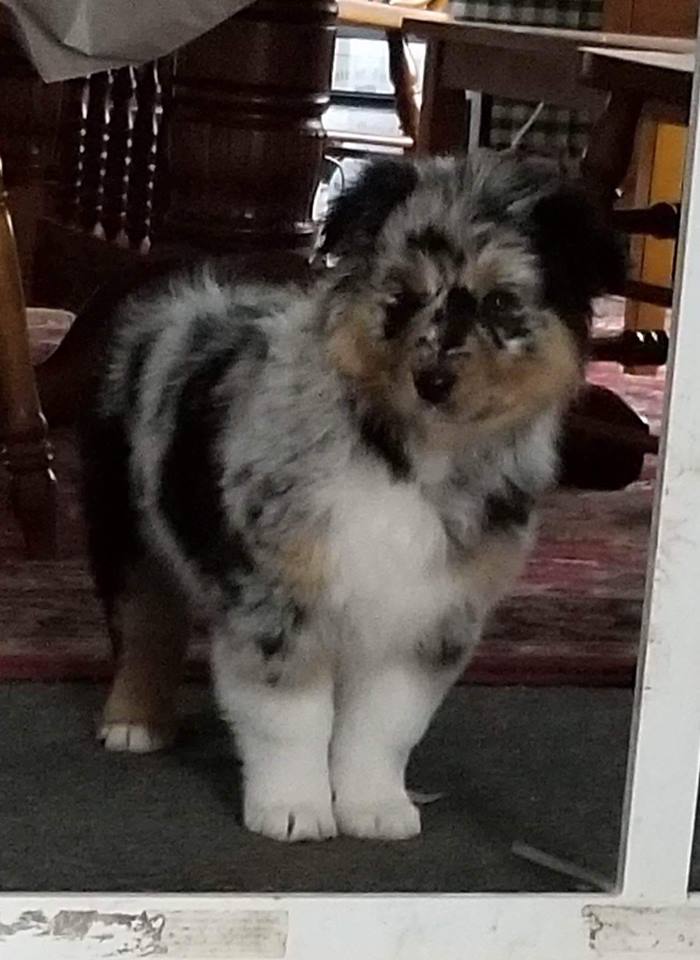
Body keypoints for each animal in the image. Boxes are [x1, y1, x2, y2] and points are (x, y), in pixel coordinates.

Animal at [80, 149, 624, 842]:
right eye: (404, 295)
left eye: (502, 301)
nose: (433, 380)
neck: (408, 456)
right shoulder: (278, 595)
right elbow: (291, 719)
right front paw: (292, 808)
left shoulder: (428, 613)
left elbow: (383, 726)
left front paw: (374, 806)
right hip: (125, 516)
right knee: (144, 617)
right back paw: (135, 721)